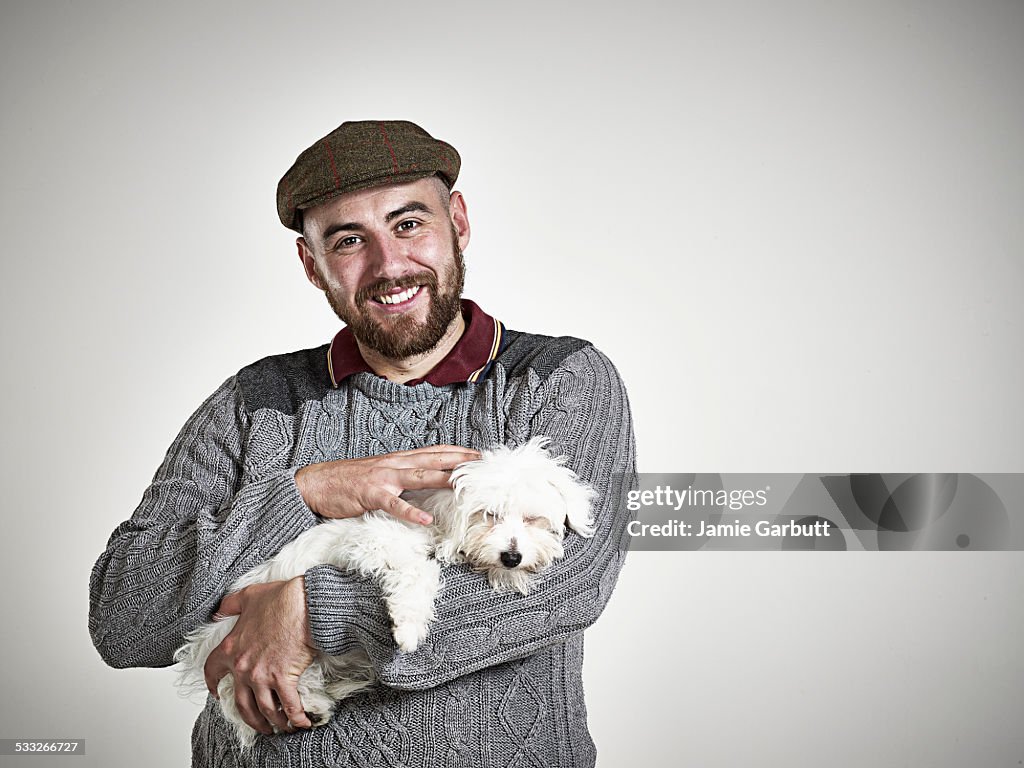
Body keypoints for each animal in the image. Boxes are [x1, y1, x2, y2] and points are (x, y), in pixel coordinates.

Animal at [174, 438, 593, 753]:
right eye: (488, 515)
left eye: (533, 519)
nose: (512, 557)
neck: (437, 518)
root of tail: (203, 646)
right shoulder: (374, 540)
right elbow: (420, 570)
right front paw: (408, 628)